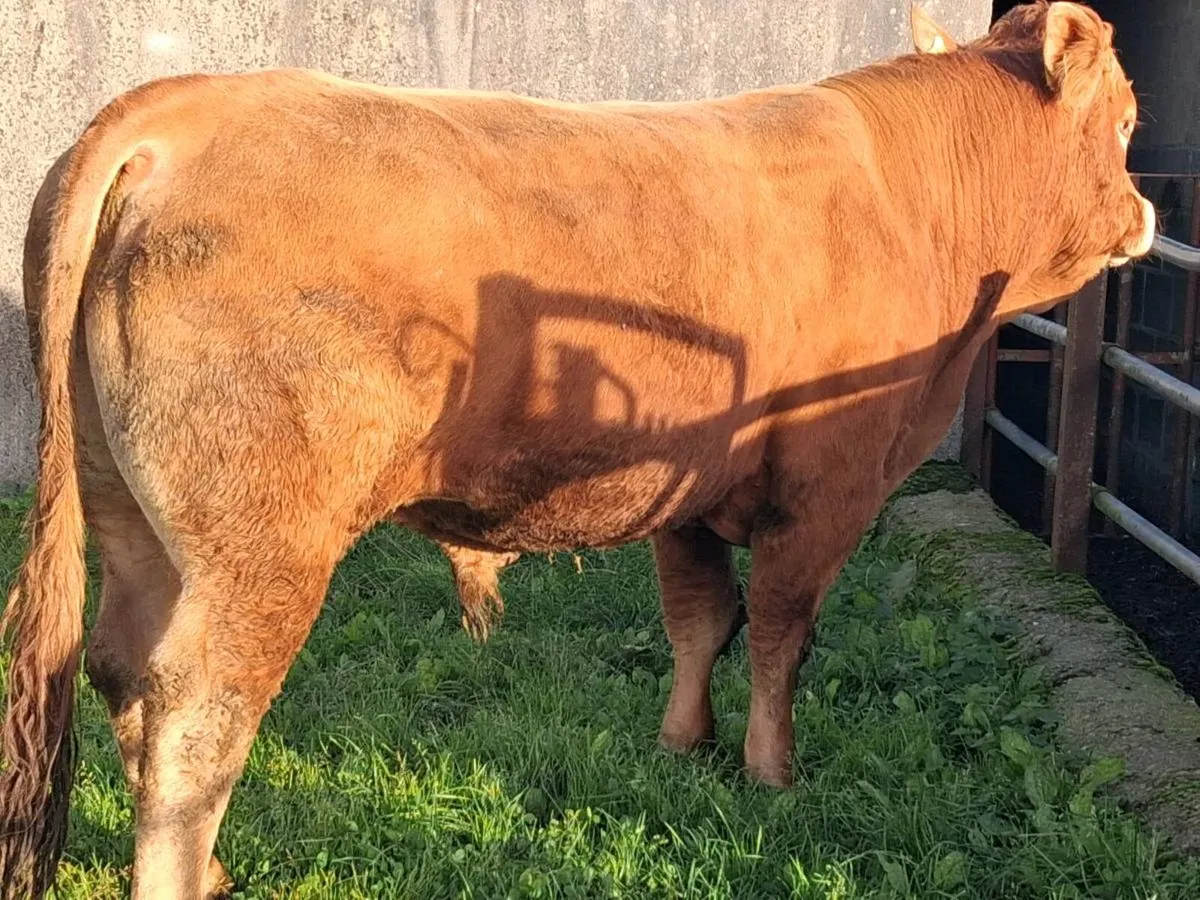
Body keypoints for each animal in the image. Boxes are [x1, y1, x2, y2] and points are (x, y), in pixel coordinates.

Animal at [0, 2, 1154, 897]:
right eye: (1131, 120)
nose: (1148, 213)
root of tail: (178, 109)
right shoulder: (826, 490)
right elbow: (782, 635)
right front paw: (772, 774)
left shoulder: (692, 485)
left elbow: (701, 620)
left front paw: (683, 748)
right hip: (258, 548)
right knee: (198, 712)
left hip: (133, 520)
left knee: (121, 671)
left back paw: (214, 868)